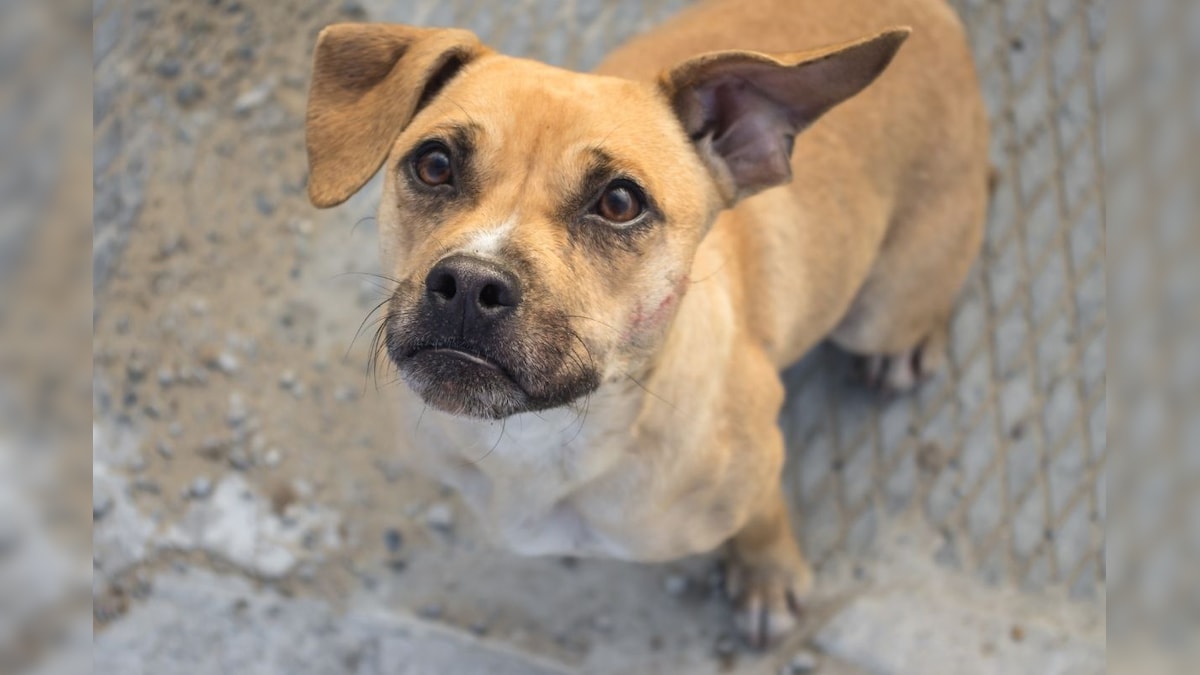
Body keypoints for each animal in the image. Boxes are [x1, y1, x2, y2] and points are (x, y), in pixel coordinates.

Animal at [304, 0, 988, 643]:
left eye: (619, 202)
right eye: (435, 164)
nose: (471, 284)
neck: (547, 436)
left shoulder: (758, 462)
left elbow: (763, 517)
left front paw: (766, 578)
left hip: (874, 314)